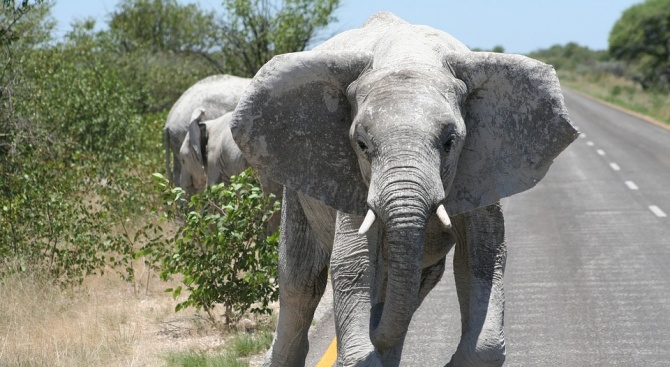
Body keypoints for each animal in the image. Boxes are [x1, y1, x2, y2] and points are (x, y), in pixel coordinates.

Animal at [230, 11, 576, 367]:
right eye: (361, 144)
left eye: (450, 142)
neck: (409, 55)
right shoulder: (350, 176)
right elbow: (353, 261)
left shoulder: (483, 164)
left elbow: (483, 255)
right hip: (297, 186)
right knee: (301, 281)